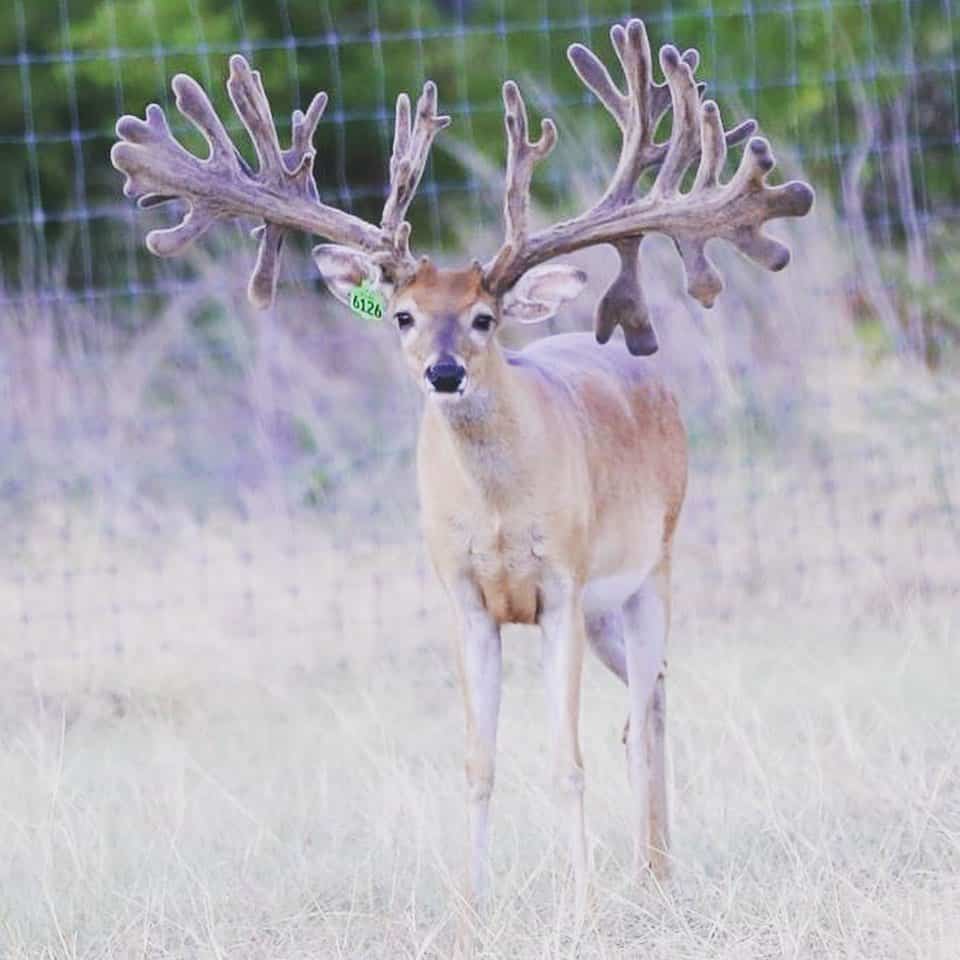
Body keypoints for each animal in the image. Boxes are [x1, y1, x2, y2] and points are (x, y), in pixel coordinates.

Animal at [111, 17, 813, 911]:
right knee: (647, 698)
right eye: (403, 315)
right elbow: (479, 763)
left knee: (649, 702)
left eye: (483, 317)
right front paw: (469, 914)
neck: (498, 512)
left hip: (650, 567)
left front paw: (581, 909)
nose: (443, 372)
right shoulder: (465, 595)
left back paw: (652, 870)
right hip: (603, 612)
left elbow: (566, 759)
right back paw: (652, 867)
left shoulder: (560, 585)